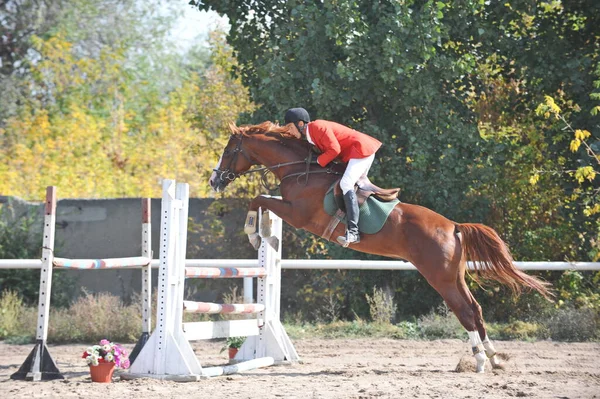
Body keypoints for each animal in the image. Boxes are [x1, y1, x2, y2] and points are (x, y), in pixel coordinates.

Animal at [209, 120, 552, 374]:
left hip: (439, 277)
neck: (299, 167)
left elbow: (259, 199)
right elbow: (263, 199)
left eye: (228, 150)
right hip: (455, 276)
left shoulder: (297, 214)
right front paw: (264, 234)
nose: (214, 181)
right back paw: (493, 357)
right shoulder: (291, 209)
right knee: (476, 309)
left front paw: (256, 234)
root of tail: (453, 226)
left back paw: (480, 360)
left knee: (465, 311)